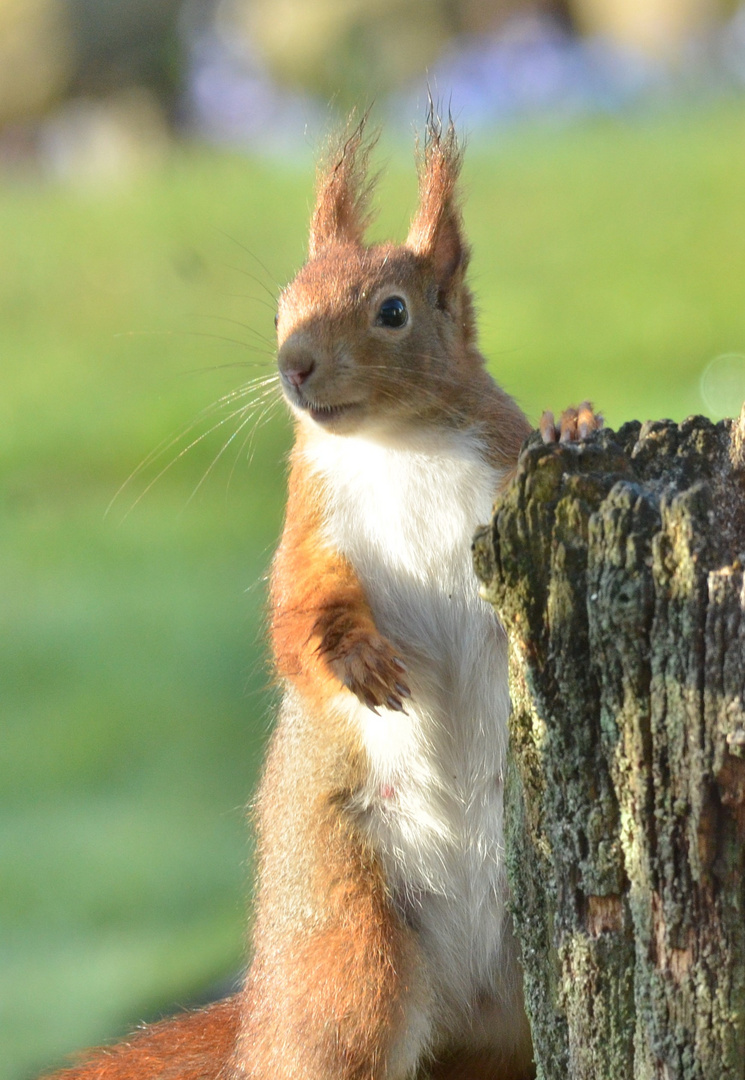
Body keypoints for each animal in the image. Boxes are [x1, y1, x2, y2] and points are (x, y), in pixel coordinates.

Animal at [45, 113, 596, 1075]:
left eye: (392, 311)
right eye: (281, 307)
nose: (293, 364)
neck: (396, 442)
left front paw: (573, 423)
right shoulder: (310, 531)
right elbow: (296, 618)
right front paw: (358, 660)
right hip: (346, 940)